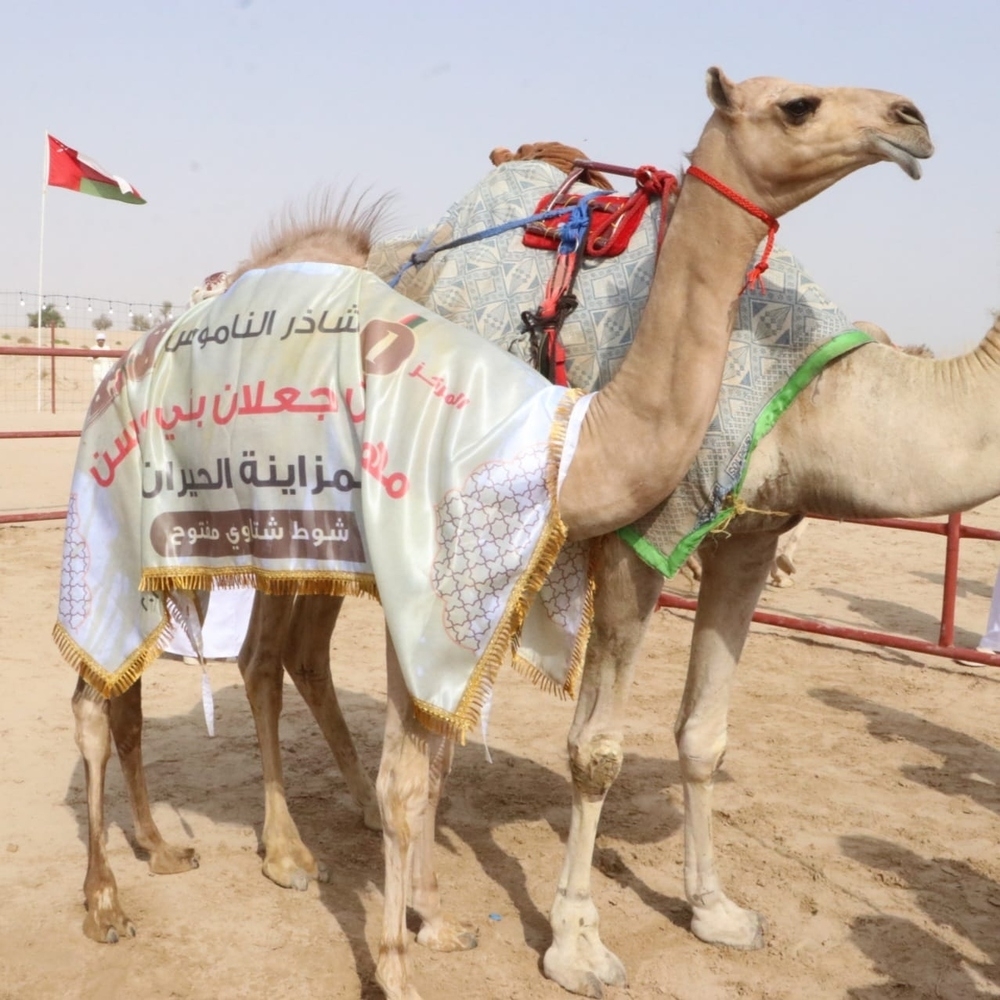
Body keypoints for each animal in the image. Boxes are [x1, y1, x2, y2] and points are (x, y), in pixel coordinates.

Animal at [64, 69, 933, 1000]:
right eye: (798, 105)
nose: (911, 122)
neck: (571, 434)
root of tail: (124, 359)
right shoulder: (427, 581)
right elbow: (411, 776)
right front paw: (402, 966)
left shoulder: (473, 595)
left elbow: (432, 763)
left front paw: (435, 924)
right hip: (125, 516)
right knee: (104, 691)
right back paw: (121, 898)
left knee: (177, 675)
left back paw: (168, 848)